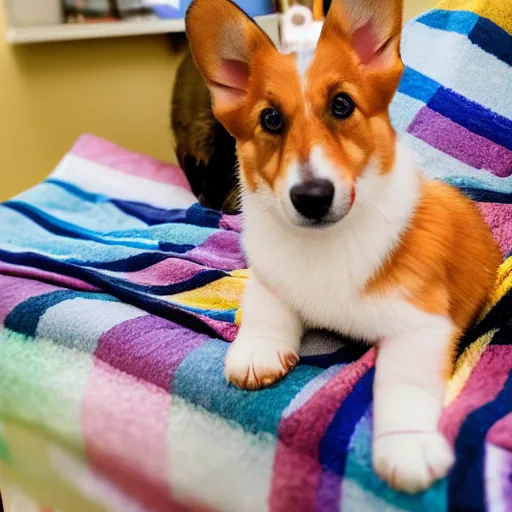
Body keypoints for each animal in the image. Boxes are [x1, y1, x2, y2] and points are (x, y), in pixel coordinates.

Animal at [185, 0, 500, 492]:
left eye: (341, 105)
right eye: (270, 118)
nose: (312, 197)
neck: (323, 244)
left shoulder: (422, 323)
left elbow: (401, 382)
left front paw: (406, 445)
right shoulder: (269, 279)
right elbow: (265, 309)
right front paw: (258, 348)